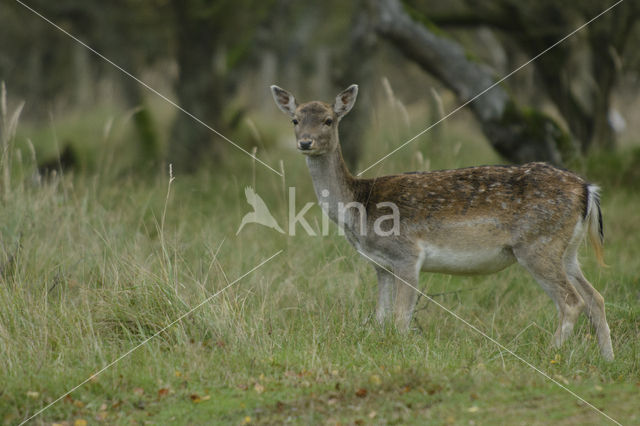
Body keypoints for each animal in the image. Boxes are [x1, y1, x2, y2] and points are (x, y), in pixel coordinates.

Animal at [270, 82, 616, 360]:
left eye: (329, 119)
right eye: (295, 119)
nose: (305, 142)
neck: (360, 206)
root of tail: (587, 190)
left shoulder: (407, 255)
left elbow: (400, 320)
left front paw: (401, 351)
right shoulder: (380, 265)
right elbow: (380, 318)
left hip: (537, 245)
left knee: (571, 302)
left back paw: (549, 354)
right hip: (567, 251)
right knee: (596, 297)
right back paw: (607, 359)